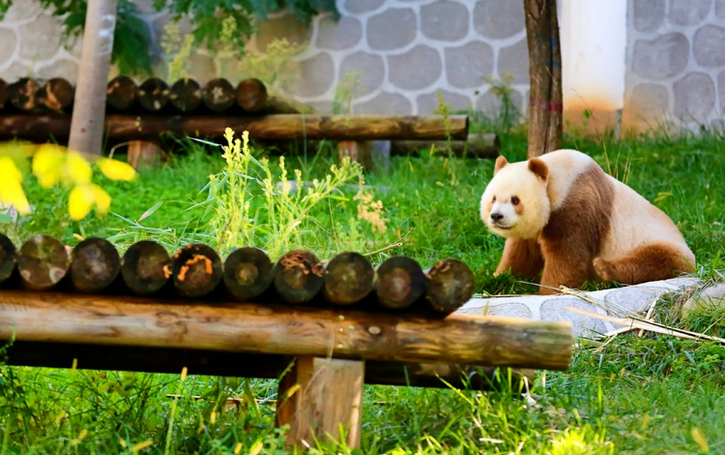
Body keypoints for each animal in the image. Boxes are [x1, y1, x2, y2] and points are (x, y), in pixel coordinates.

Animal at [478, 150, 692, 296]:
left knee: (655, 261)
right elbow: (522, 255)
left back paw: (605, 269)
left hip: (659, 241)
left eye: (515, 200)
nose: (496, 216)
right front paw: (498, 278)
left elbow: (568, 257)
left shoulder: (575, 204)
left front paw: (550, 291)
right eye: (493, 198)